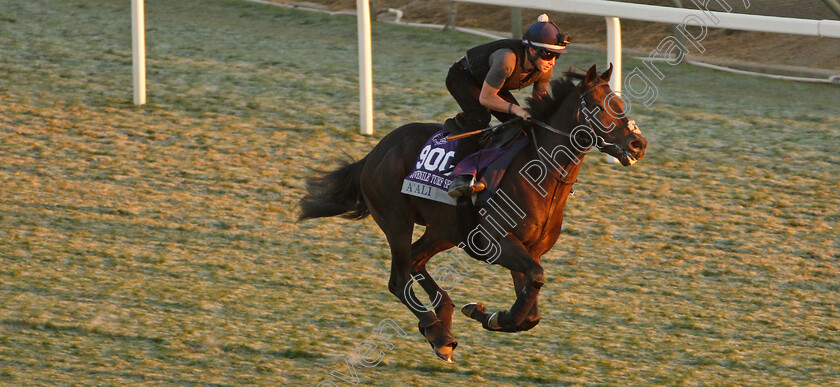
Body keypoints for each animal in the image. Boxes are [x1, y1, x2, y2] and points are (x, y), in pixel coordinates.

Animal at [298, 63, 648, 364]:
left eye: (620, 102)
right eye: (600, 107)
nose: (637, 144)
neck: (541, 173)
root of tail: (374, 154)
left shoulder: (527, 250)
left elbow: (531, 309)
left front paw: (491, 316)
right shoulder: (496, 243)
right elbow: (536, 280)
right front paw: (492, 316)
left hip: (444, 230)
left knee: (415, 260)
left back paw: (444, 314)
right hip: (397, 221)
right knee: (398, 279)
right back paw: (439, 334)